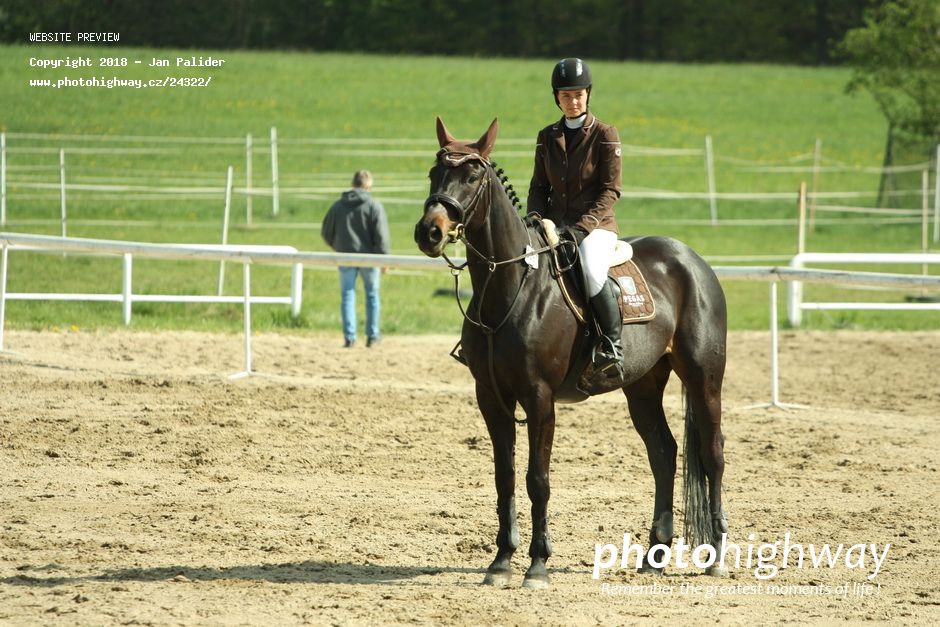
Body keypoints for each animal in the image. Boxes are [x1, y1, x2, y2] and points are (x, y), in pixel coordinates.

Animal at [414, 117, 728, 589]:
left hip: (704, 379)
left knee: (712, 453)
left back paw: (718, 556)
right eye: (434, 173)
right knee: (664, 453)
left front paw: (537, 565)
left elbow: (537, 479)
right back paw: (653, 554)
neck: (511, 287)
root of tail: (693, 261)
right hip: (642, 386)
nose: (429, 232)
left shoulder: (540, 398)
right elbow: (504, 477)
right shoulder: (490, 398)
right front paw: (501, 562)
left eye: (471, 176)